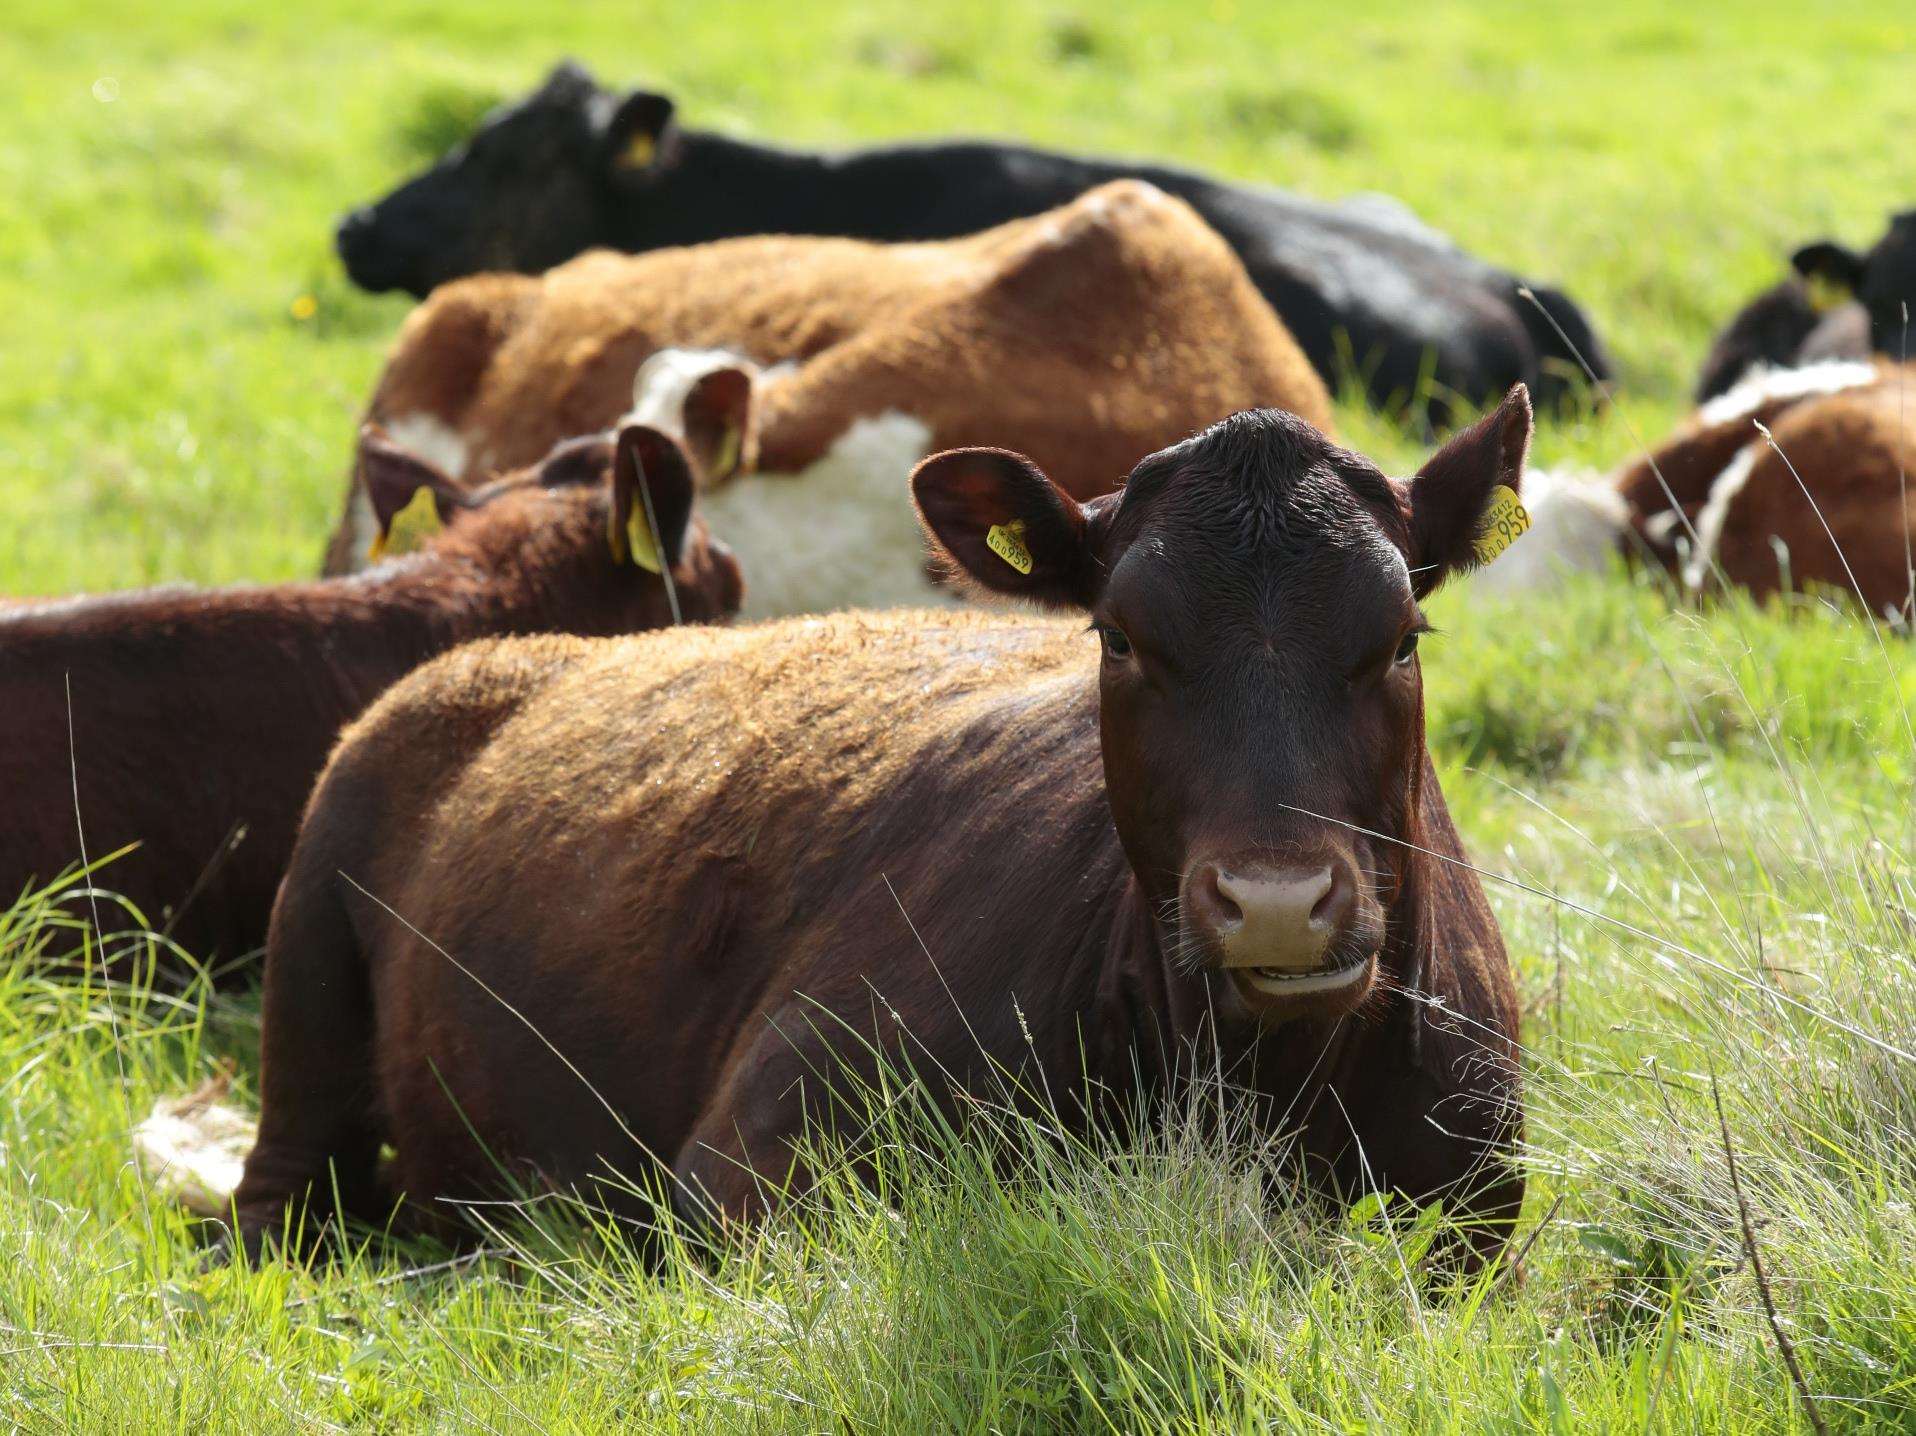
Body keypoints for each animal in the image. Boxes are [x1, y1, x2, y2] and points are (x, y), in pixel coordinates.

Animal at [228, 389, 1540, 1265]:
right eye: (1118, 635)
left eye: (1402, 635)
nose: (1275, 900)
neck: (1259, 1086)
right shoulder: (746, 1167)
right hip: (305, 973)